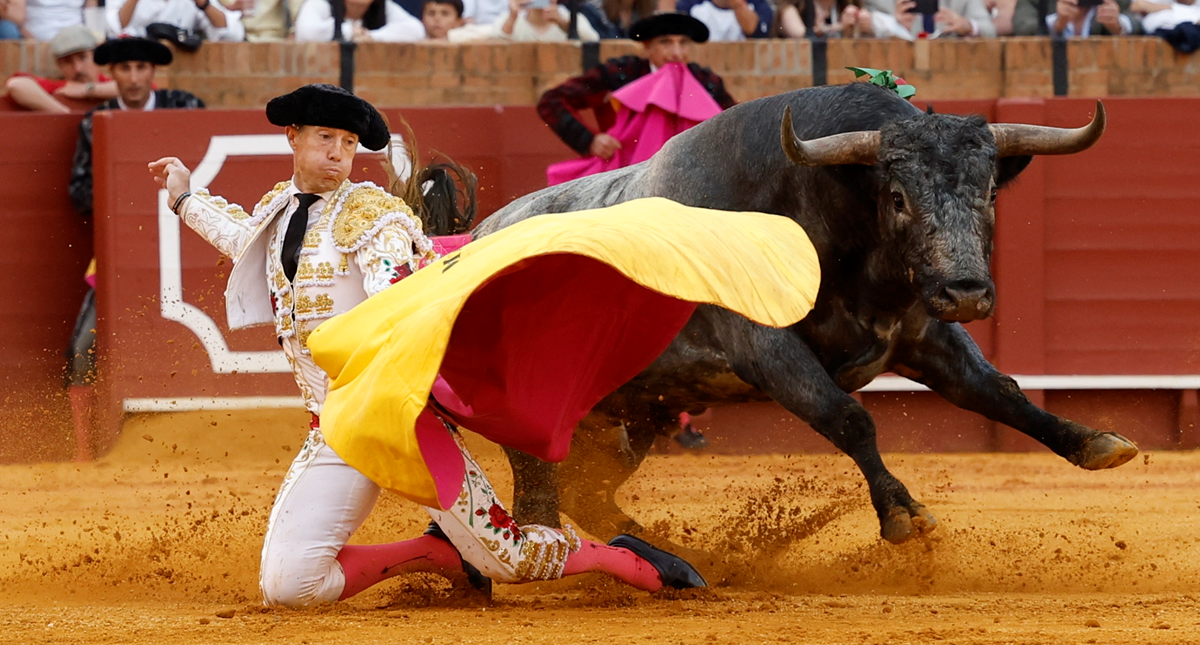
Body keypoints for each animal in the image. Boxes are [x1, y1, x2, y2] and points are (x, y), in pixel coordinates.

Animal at [472, 80, 1137, 541]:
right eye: (898, 197)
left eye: (991, 192)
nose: (967, 293)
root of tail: (474, 235)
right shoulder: (768, 349)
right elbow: (848, 418)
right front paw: (902, 513)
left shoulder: (923, 335)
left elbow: (997, 390)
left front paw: (1093, 441)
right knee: (541, 491)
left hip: (634, 413)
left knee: (587, 488)